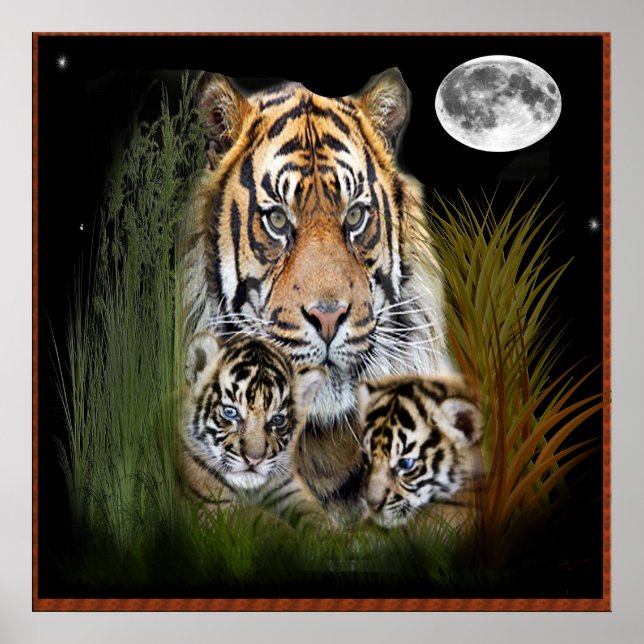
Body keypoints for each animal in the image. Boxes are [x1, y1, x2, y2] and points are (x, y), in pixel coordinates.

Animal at [181, 331, 327, 525]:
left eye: (277, 420)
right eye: (230, 412)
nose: (254, 460)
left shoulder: (290, 488)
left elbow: (318, 518)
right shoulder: (214, 508)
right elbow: (266, 521)